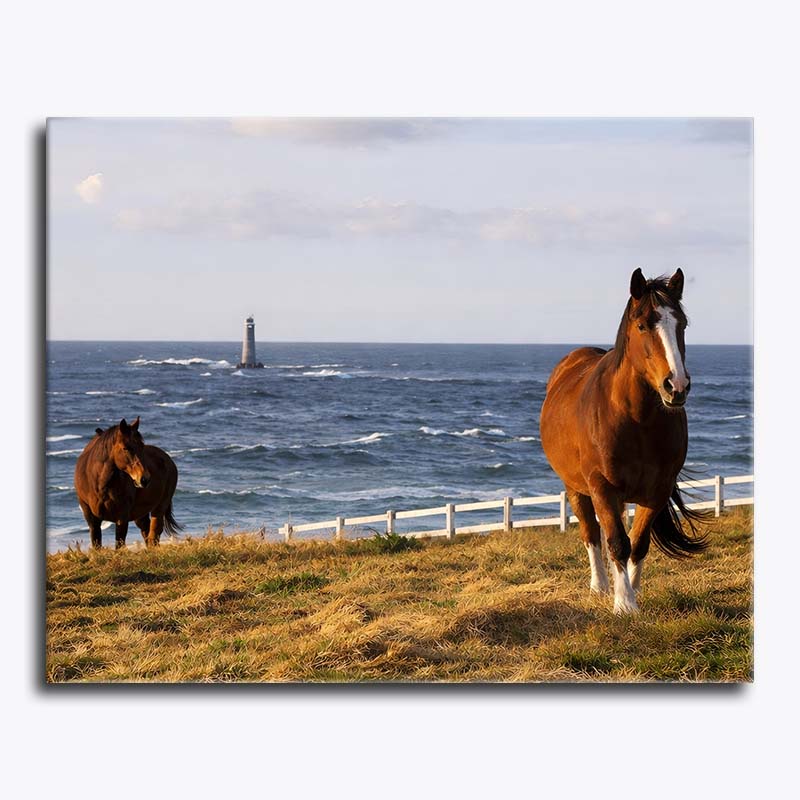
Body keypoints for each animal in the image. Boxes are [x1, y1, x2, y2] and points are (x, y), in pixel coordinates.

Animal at [74, 417, 181, 549]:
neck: (99, 484)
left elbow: (119, 545)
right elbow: (96, 544)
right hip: (141, 514)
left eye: (142, 446)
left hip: (160, 506)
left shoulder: (122, 518)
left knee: (154, 533)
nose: (144, 479)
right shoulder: (92, 519)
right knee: (146, 531)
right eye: (126, 448)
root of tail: (168, 459)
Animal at [539, 268, 708, 614]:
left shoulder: (657, 490)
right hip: (576, 487)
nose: (676, 385)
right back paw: (600, 586)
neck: (636, 420)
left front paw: (633, 590)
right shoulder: (601, 487)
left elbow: (638, 542)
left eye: (682, 324)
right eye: (642, 325)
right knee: (592, 533)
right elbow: (617, 541)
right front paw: (624, 604)